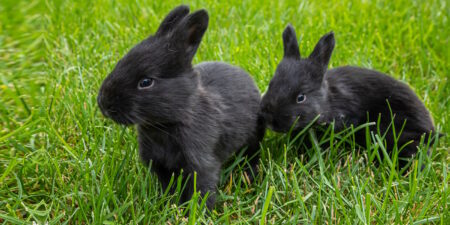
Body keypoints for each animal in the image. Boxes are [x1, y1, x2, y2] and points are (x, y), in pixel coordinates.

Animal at [96, 5, 264, 209]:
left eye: (146, 82)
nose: (103, 103)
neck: (166, 124)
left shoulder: (201, 165)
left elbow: (202, 190)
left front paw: (199, 211)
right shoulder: (160, 166)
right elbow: (168, 187)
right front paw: (168, 203)